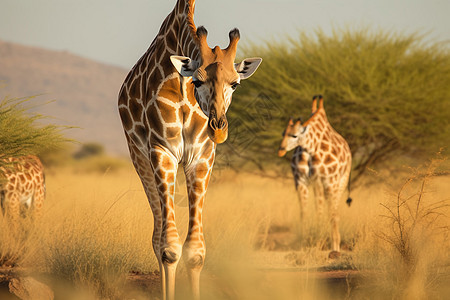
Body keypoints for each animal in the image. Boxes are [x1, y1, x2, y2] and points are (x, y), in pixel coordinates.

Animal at [118, 1, 262, 298]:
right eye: (197, 81)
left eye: (235, 83)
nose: (218, 128)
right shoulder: (163, 151)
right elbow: (169, 248)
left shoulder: (201, 157)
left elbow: (195, 252)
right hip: (139, 158)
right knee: (157, 235)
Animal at [278, 95, 352, 253]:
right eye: (283, 133)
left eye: (294, 135)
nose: (281, 150)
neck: (310, 149)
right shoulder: (300, 180)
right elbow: (305, 212)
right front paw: (305, 243)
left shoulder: (325, 180)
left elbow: (325, 213)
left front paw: (325, 243)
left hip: (340, 182)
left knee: (334, 212)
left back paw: (336, 245)